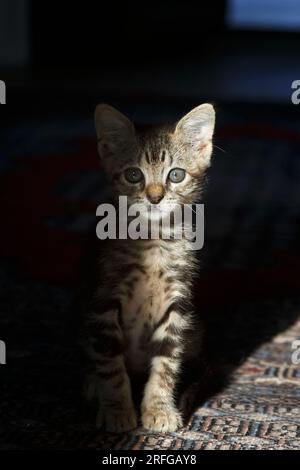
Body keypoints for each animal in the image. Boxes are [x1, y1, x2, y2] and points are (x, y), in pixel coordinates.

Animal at [82, 103, 216, 434]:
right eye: (133, 175)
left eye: (176, 175)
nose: (155, 197)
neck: (154, 241)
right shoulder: (103, 302)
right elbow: (110, 365)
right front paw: (117, 409)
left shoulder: (178, 305)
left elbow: (166, 362)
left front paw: (159, 408)